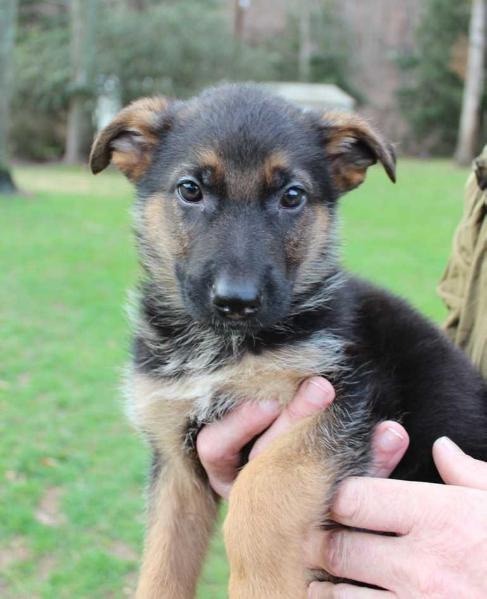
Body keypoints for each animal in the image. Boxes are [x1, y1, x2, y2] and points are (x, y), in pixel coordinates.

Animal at [88, 85, 487, 599]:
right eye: (190, 190)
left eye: (291, 196)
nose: (237, 301)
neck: (220, 348)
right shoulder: (177, 460)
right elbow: (161, 564)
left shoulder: (336, 403)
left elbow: (260, 492)